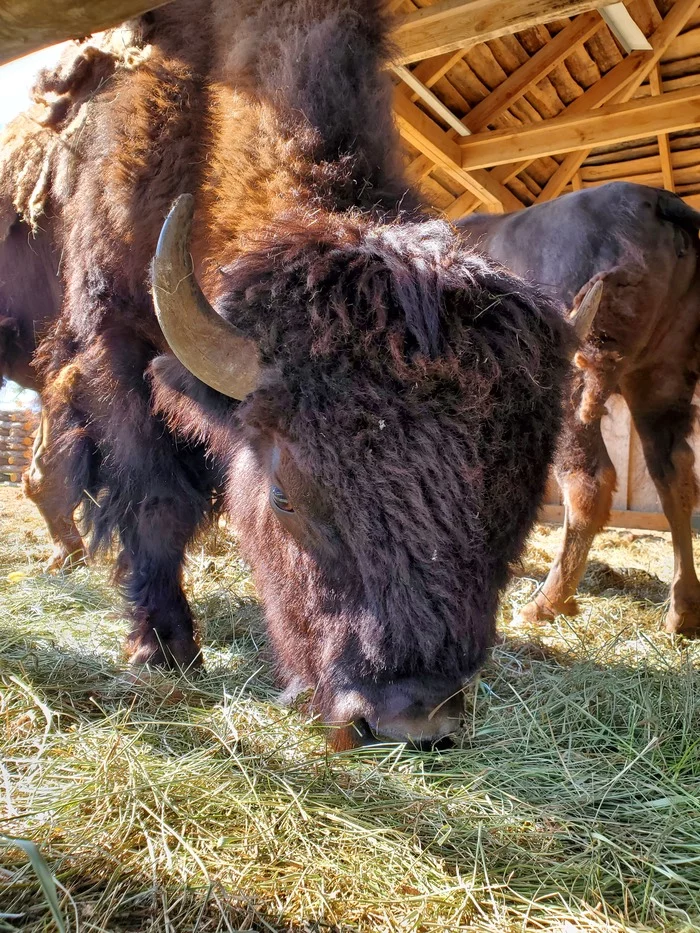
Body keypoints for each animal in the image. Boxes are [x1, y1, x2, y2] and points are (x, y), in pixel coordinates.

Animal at [16, 0, 588, 748]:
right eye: (285, 495)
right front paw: (162, 649)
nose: (409, 716)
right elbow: (155, 501)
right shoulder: (115, 343)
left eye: (520, 503)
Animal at [456, 180, 700, 632]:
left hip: (575, 388)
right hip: (661, 379)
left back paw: (543, 604)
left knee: (590, 478)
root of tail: (657, 201)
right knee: (673, 475)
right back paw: (682, 611)